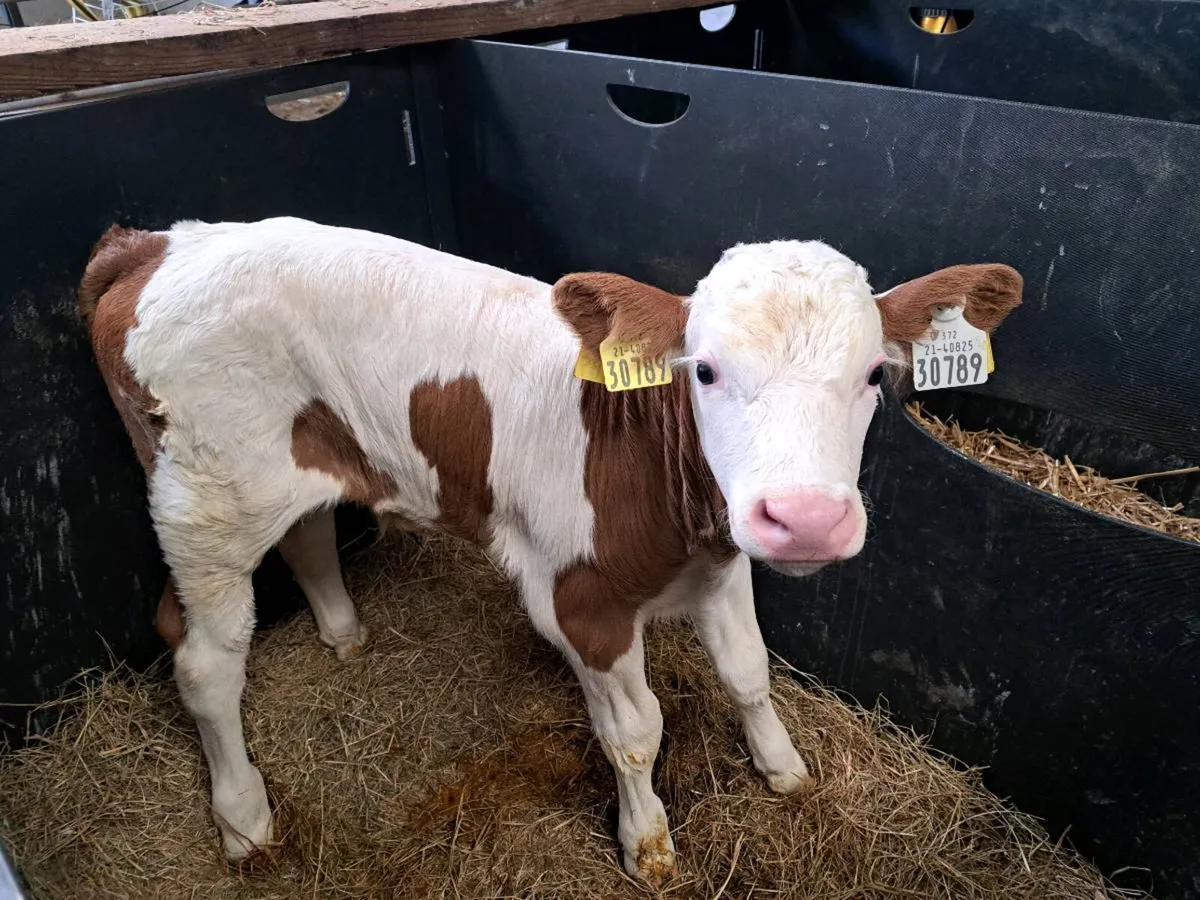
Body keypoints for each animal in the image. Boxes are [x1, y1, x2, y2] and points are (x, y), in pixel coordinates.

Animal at [78, 217, 1022, 884]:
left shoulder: (721, 564)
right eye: (705, 370)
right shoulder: (579, 599)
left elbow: (750, 673)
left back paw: (344, 635)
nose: (807, 517)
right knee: (204, 658)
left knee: (308, 534)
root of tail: (157, 242)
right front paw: (648, 846)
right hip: (204, 496)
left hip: (293, 458)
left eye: (873, 375)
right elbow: (637, 731)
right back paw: (245, 820)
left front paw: (784, 769)